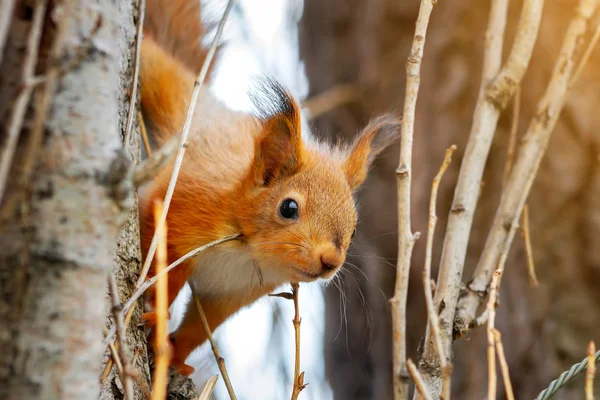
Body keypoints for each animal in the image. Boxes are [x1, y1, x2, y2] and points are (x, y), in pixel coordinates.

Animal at [138, 0, 400, 378]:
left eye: (353, 228)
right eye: (288, 208)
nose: (330, 262)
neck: (248, 250)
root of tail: (204, 105)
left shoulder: (230, 293)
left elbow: (200, 326)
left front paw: (175, 353)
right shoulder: (183, 211)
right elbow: (162, 272)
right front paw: (158, 319)